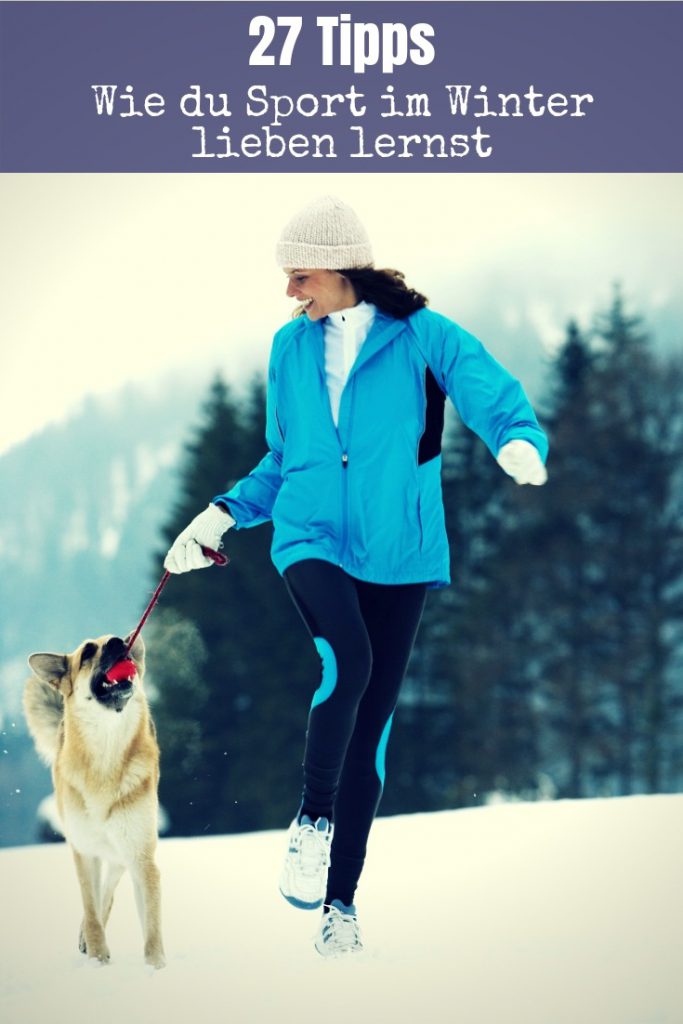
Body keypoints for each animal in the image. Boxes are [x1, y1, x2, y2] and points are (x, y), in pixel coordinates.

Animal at [24, 630, 165, 966]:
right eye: (88, 652)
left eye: (118, 640)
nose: (119, 642)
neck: (106, 753)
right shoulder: (84, 852)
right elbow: (92, 915)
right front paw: (98, 959)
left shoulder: (141, 857)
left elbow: (151, 928)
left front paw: (156, 968)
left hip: (121, 849)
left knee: (108, 892)